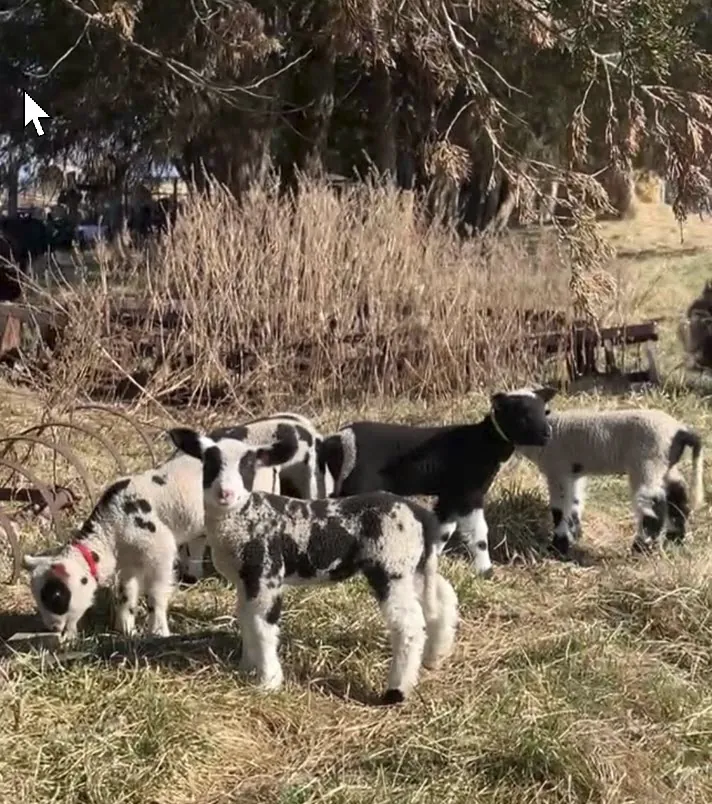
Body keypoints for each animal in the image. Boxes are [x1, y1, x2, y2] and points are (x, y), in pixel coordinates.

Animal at [21, 437, 294, 641]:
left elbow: (156, 595)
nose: (52, 629)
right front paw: (125, 629)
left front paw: (159, 631)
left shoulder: (159, 552)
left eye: (56, 596)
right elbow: (126, 593)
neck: (112, 527)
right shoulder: (128, 562)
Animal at [320, 387, 556, 577]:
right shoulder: (469, 492)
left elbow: (442, 531)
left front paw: (429, 561)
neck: (484, 442)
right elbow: (479, 534)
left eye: (545, 412)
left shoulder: (451, 494)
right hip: (359, 486)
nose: (548, 434)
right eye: (523, 415)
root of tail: (340, 439)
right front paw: (486, 571)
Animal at [516, 408, 705, 555]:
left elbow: (560, 509)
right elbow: (574, 504)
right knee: (678, 495)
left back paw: (640, 548)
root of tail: (680, 431)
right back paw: (676, 538)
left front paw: (557, 547)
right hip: (666, 466)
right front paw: (574, 536)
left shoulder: (558, 469)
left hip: (648, 461)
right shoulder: (573, 473)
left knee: (652, 505)